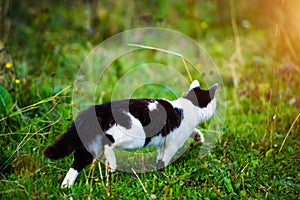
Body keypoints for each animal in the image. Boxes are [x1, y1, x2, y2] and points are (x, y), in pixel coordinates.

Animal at [43, 80, 217, 188]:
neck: (189, 105)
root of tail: (101, 107)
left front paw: (198, 136)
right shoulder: (172, 144)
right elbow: (163, 159)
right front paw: (163, 173)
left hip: (92, 144)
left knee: (79, 159)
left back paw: (66, 186)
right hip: (133, 136)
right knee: (109, 143)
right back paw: (111, 164)